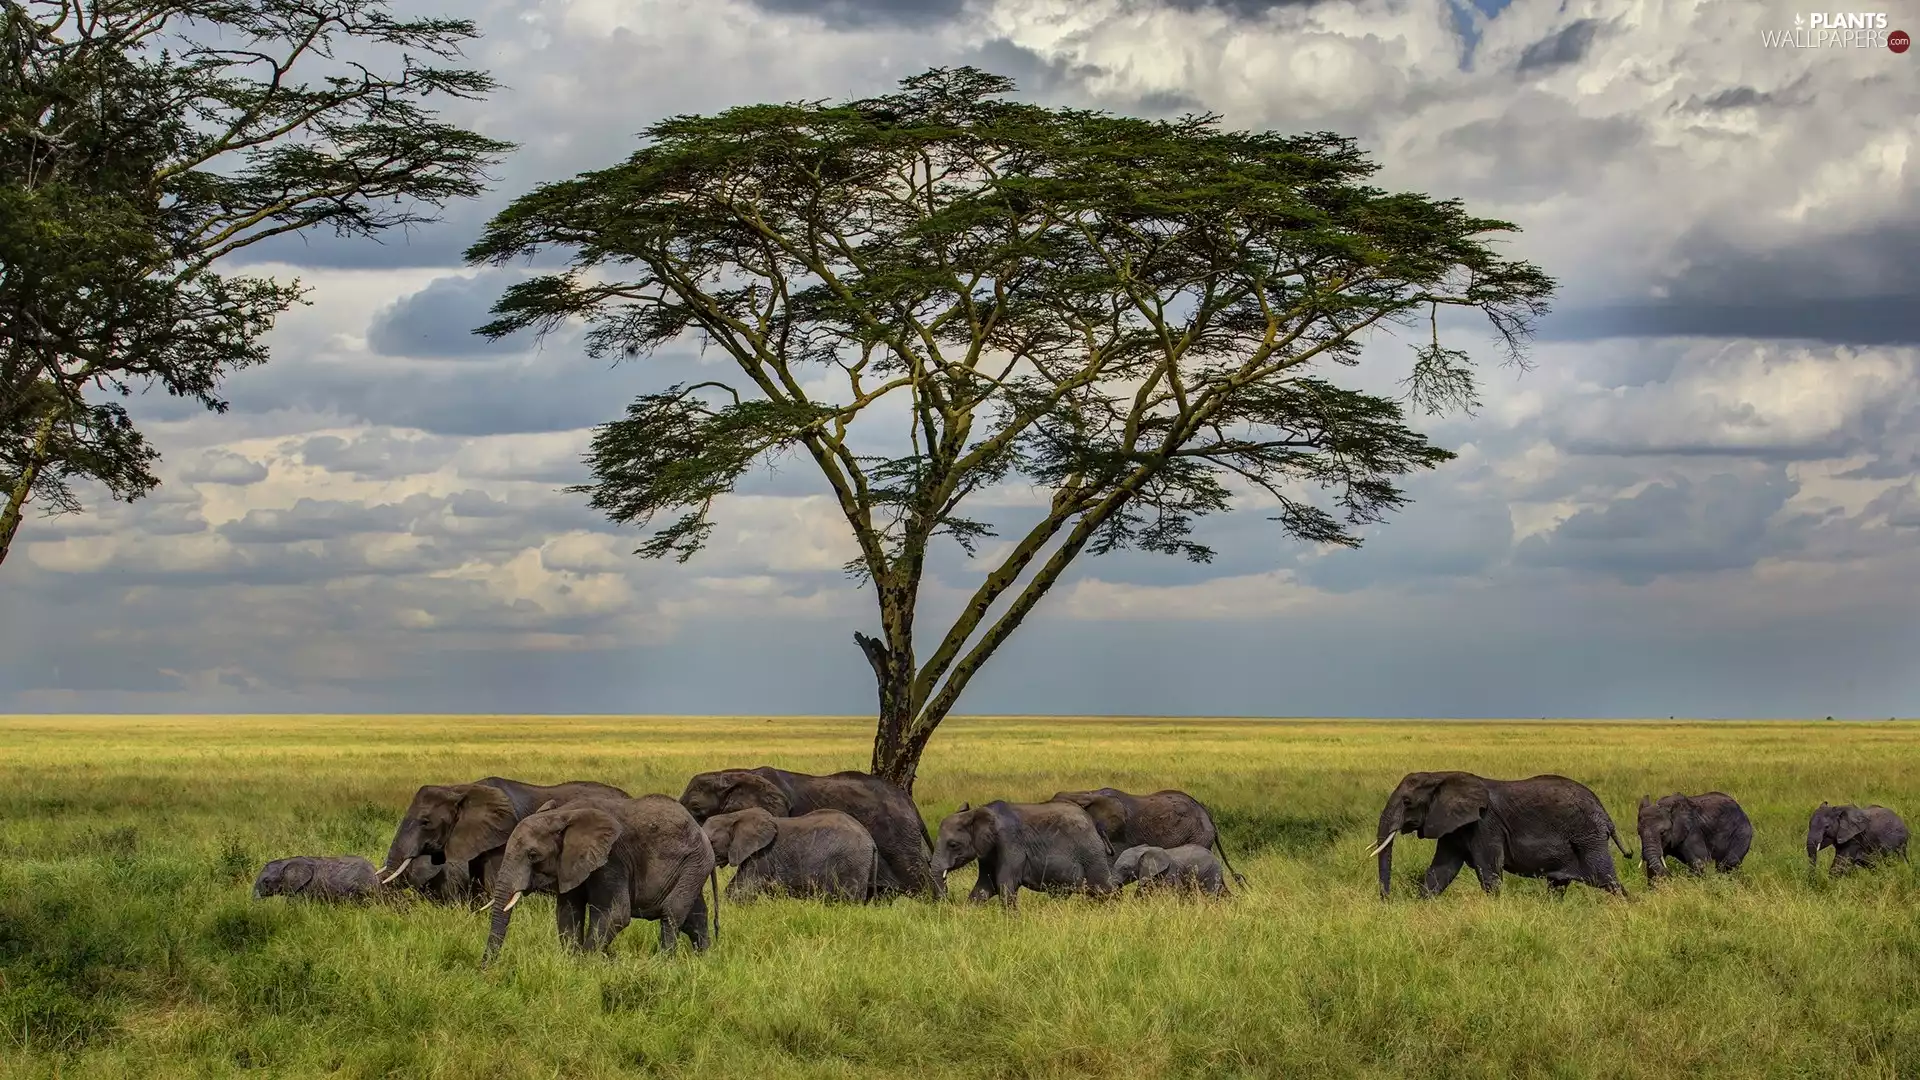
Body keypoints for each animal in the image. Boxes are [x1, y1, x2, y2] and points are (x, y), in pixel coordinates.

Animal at [484, 795, 718, 965]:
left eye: (533, 855)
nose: (485, 970)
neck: (562, 814)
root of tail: (701, 831)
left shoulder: (611, 860)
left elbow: (615, 914)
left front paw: (588, 964)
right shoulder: (571, 863)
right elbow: (568, 912)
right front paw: (572, 963)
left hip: (694, 862)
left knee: (671, 911)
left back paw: (664, 963)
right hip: (693, 866)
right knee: (694, 918)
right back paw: (704, 959)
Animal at [702, 807, 879, 902]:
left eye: (711, 842)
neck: (734, 815)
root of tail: (871, 841)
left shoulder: (763, 854)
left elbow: (745, 888)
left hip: (851, 861)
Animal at [930, 800, 1117, 910]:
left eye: (953, 845)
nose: (945, 904)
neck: (976, 812)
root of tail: (1095, 824)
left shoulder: (1010, 843)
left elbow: (1005, 884)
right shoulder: (987, 852)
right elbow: (985, 886)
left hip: (1091, 854)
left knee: (1103, 888)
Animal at [1372, 771, 1632, 900]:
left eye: (1407, 802)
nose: (1388, 900)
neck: (1440, 775)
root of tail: (1605, 814)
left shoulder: (1485, 824)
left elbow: (1488, 871)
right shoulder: (1453, 826)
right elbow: (1441, 871)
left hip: (1588, 837)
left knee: (1607, 880)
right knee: (1558, 886)